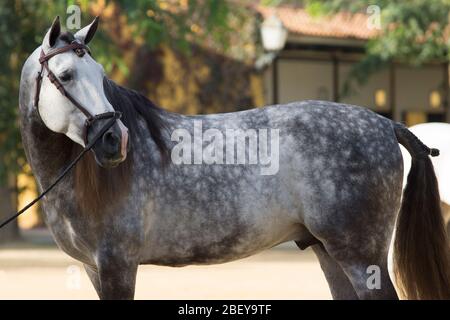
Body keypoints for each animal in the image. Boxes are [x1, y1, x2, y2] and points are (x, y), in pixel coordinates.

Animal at [17, 16, 450, 298]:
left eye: (101, 74)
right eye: (67, 75)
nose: (115, 140)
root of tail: (385, 124)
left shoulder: (117, 265)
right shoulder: (94, 268)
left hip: (362, 257)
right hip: (329, 251)